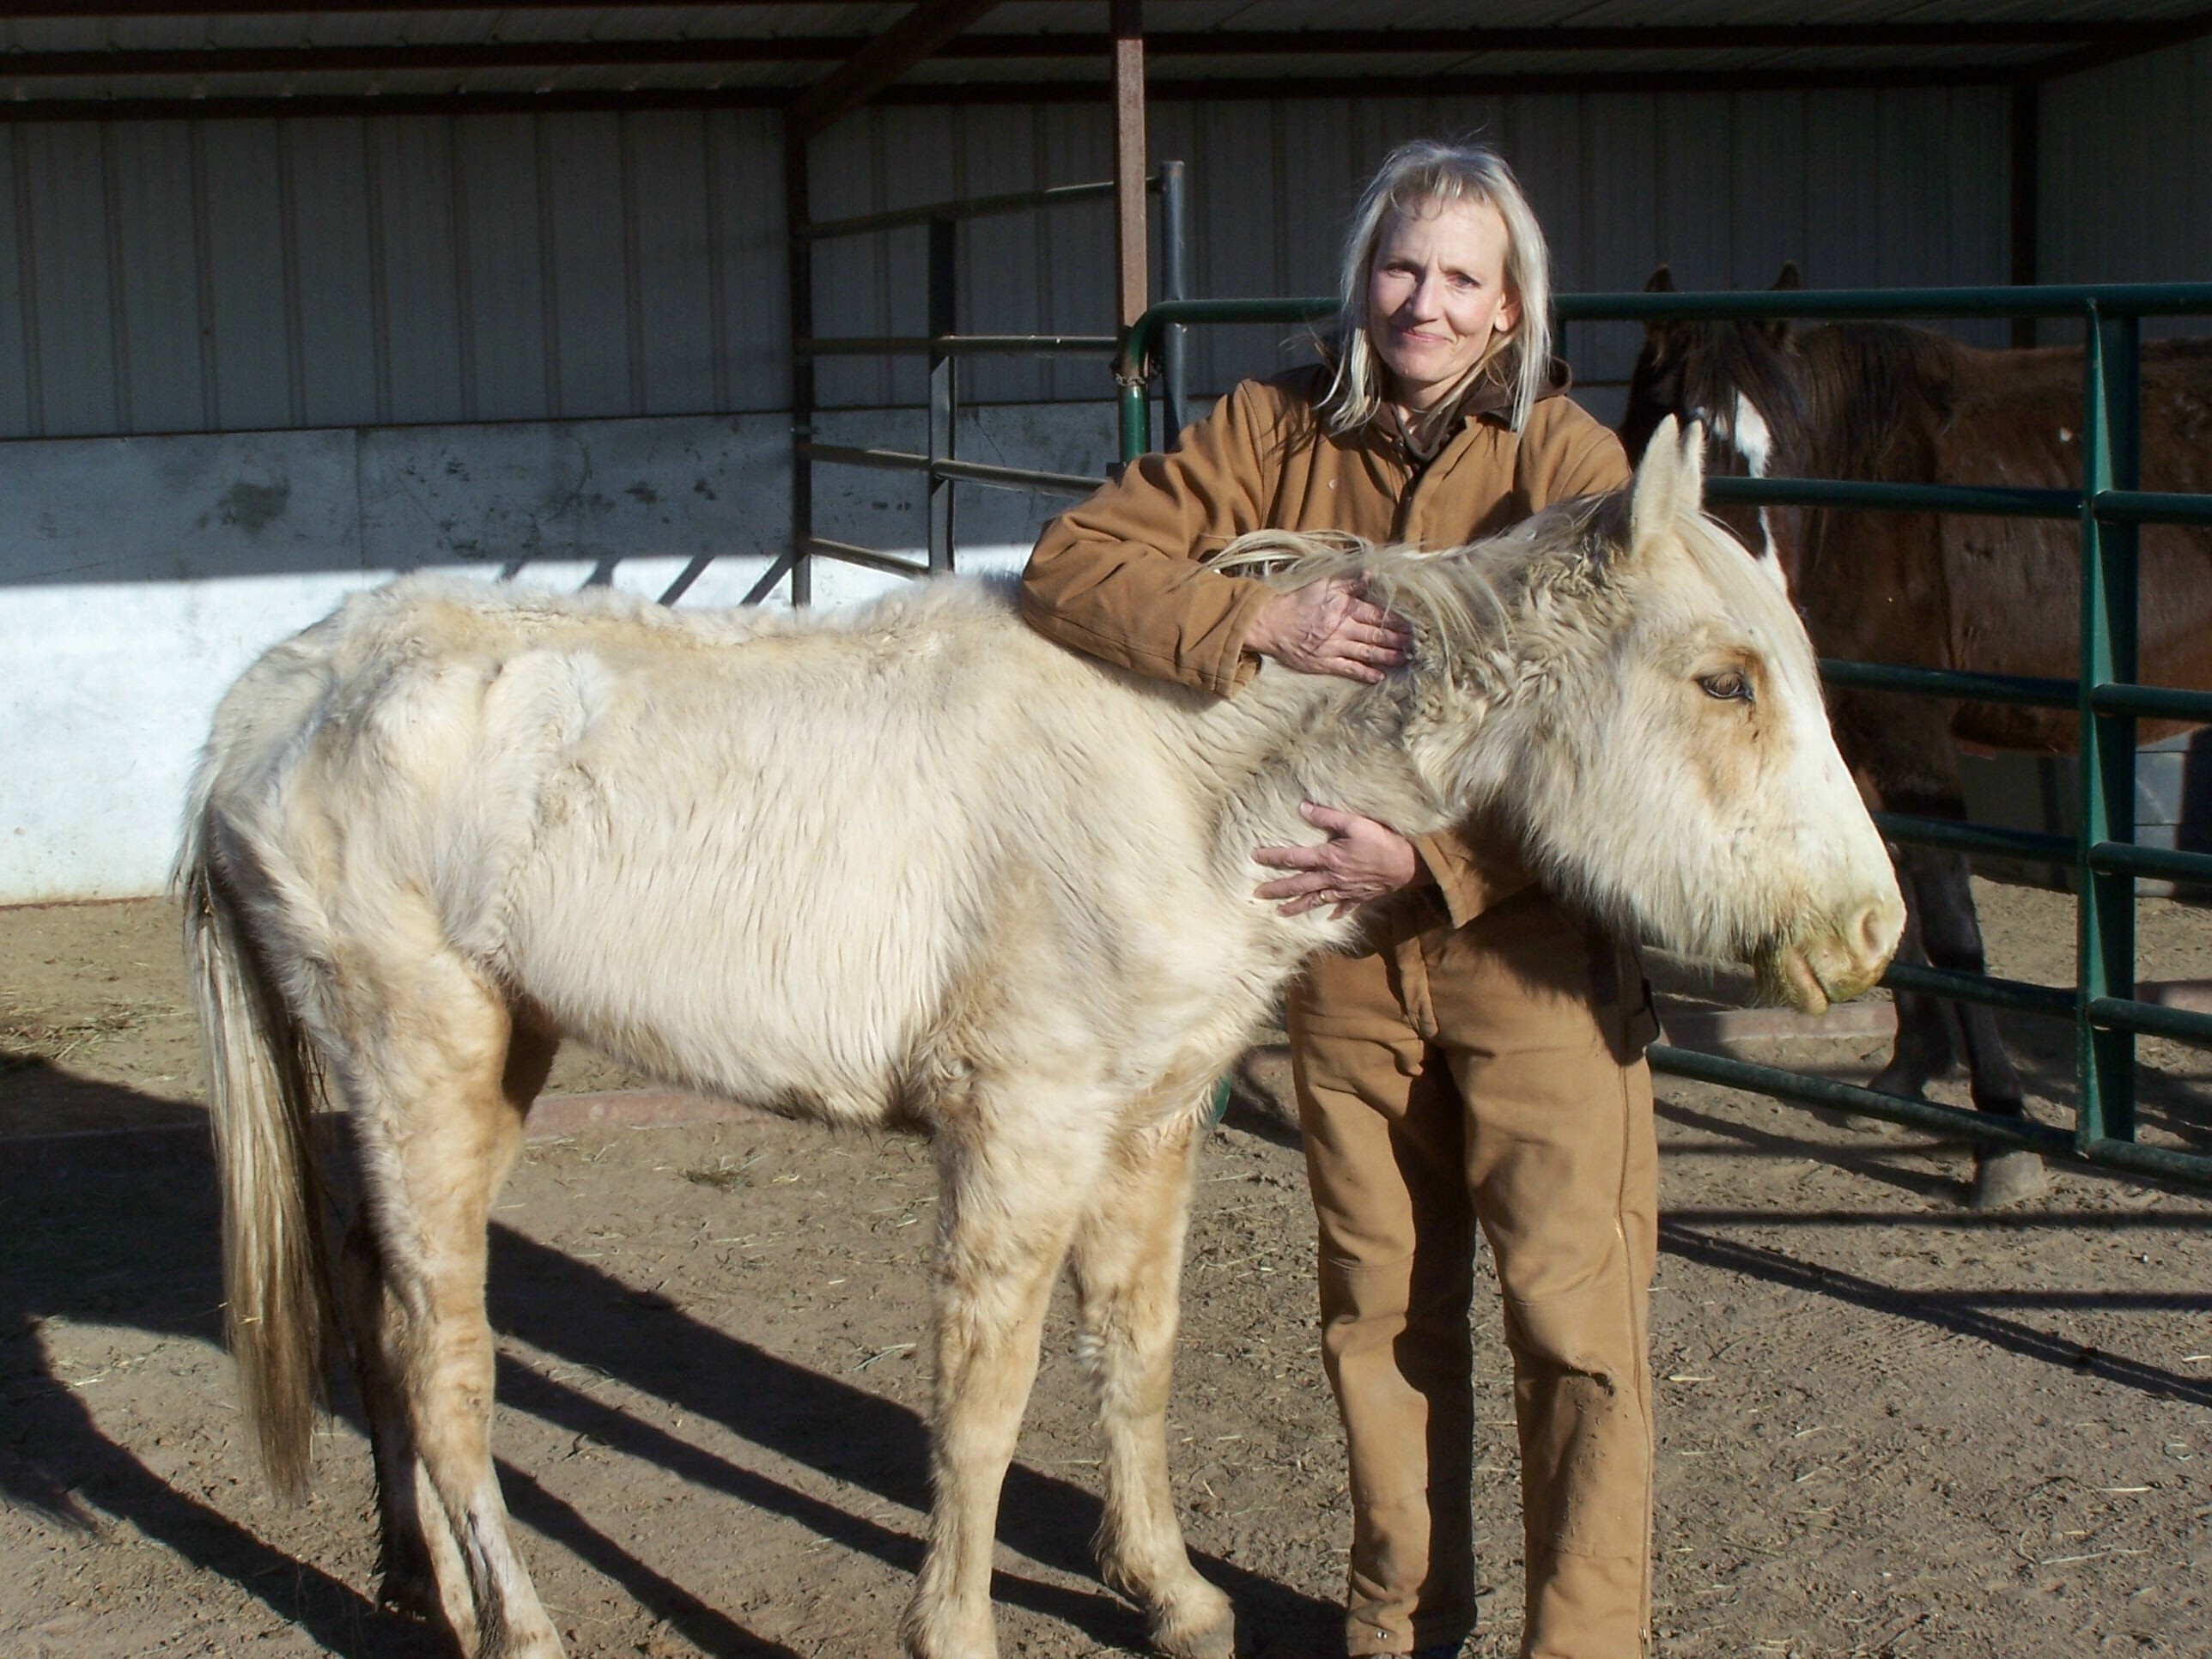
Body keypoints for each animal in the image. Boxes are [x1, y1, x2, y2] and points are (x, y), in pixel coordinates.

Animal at [181, 424, 1902, 1659]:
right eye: (1725, 679)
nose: (1870, 934)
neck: (1185, 779)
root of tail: (272, 699)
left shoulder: (1148, 1122)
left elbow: (1132, 1354)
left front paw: (1172, 1596)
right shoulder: (1020, 1135)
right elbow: (986, 1397)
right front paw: (954, 1631)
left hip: (465, 1074)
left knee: (383, 1325)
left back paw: (421, 1588)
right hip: (424, 1069)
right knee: (447, 1359)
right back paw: (519, 1625)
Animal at [1619, 266, 2212, 1212]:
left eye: (1776, 454)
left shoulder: (1910, 738)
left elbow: (1951, 921)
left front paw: (2000, 1131)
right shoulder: (1853, 738)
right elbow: (1895, 903)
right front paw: (1907, 1072)